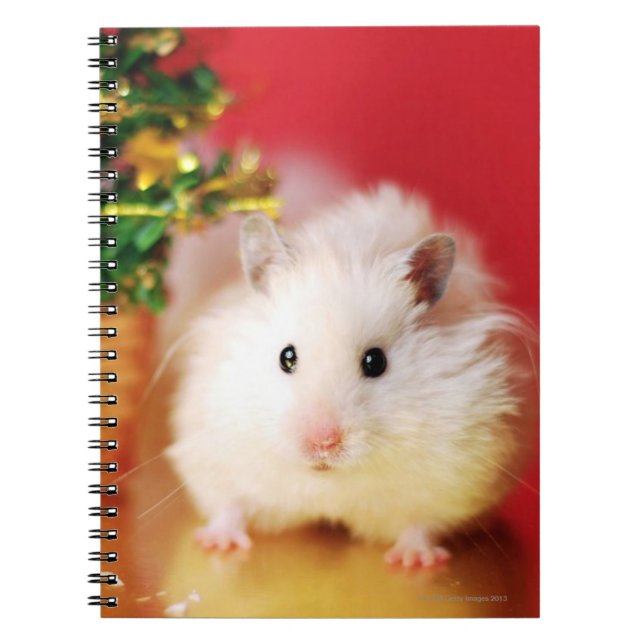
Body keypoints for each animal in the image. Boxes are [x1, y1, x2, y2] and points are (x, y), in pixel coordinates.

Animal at [167, 183, 535, 568]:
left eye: (375, 362)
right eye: (286, 357)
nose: (323, 444)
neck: (331, 479)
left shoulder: (459, 474)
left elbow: (421, 523)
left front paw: (413, 560)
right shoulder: (214, 453)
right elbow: (231, 505)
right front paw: (215, 543)